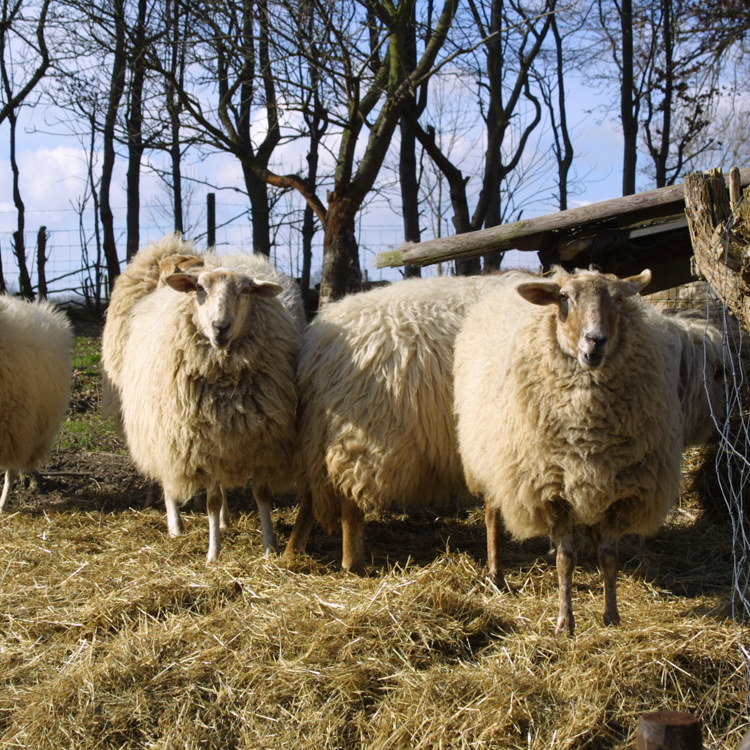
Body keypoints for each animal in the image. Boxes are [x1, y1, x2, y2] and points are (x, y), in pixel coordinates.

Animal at [105, 241, 306, 564]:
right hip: (166, 433)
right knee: (169, 481)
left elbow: (261, 495)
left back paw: (224, 521)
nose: (220, 327)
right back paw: (176, 526)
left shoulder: (262, 441)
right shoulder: (201, 446)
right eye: (199, 289)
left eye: (246, 291)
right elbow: (211, 500)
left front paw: (269, 546)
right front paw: (214, 552)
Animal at [282, 274, 516, 572]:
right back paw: (352, 563)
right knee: (349, 497)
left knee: (312, 495)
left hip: (319, 434)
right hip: (363, 430)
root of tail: (318, 347)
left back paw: (292, 552)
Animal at [452, 268, 724, 636]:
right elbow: (566, 559)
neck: (588, 429)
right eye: (564, 297)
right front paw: (565, 622)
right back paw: (496, 574)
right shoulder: (551, 493)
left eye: (619, 298)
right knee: (493, 514)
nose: (596, 341)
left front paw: (612, 615)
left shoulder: (619, 491)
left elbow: (609, 554)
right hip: (491, 458)